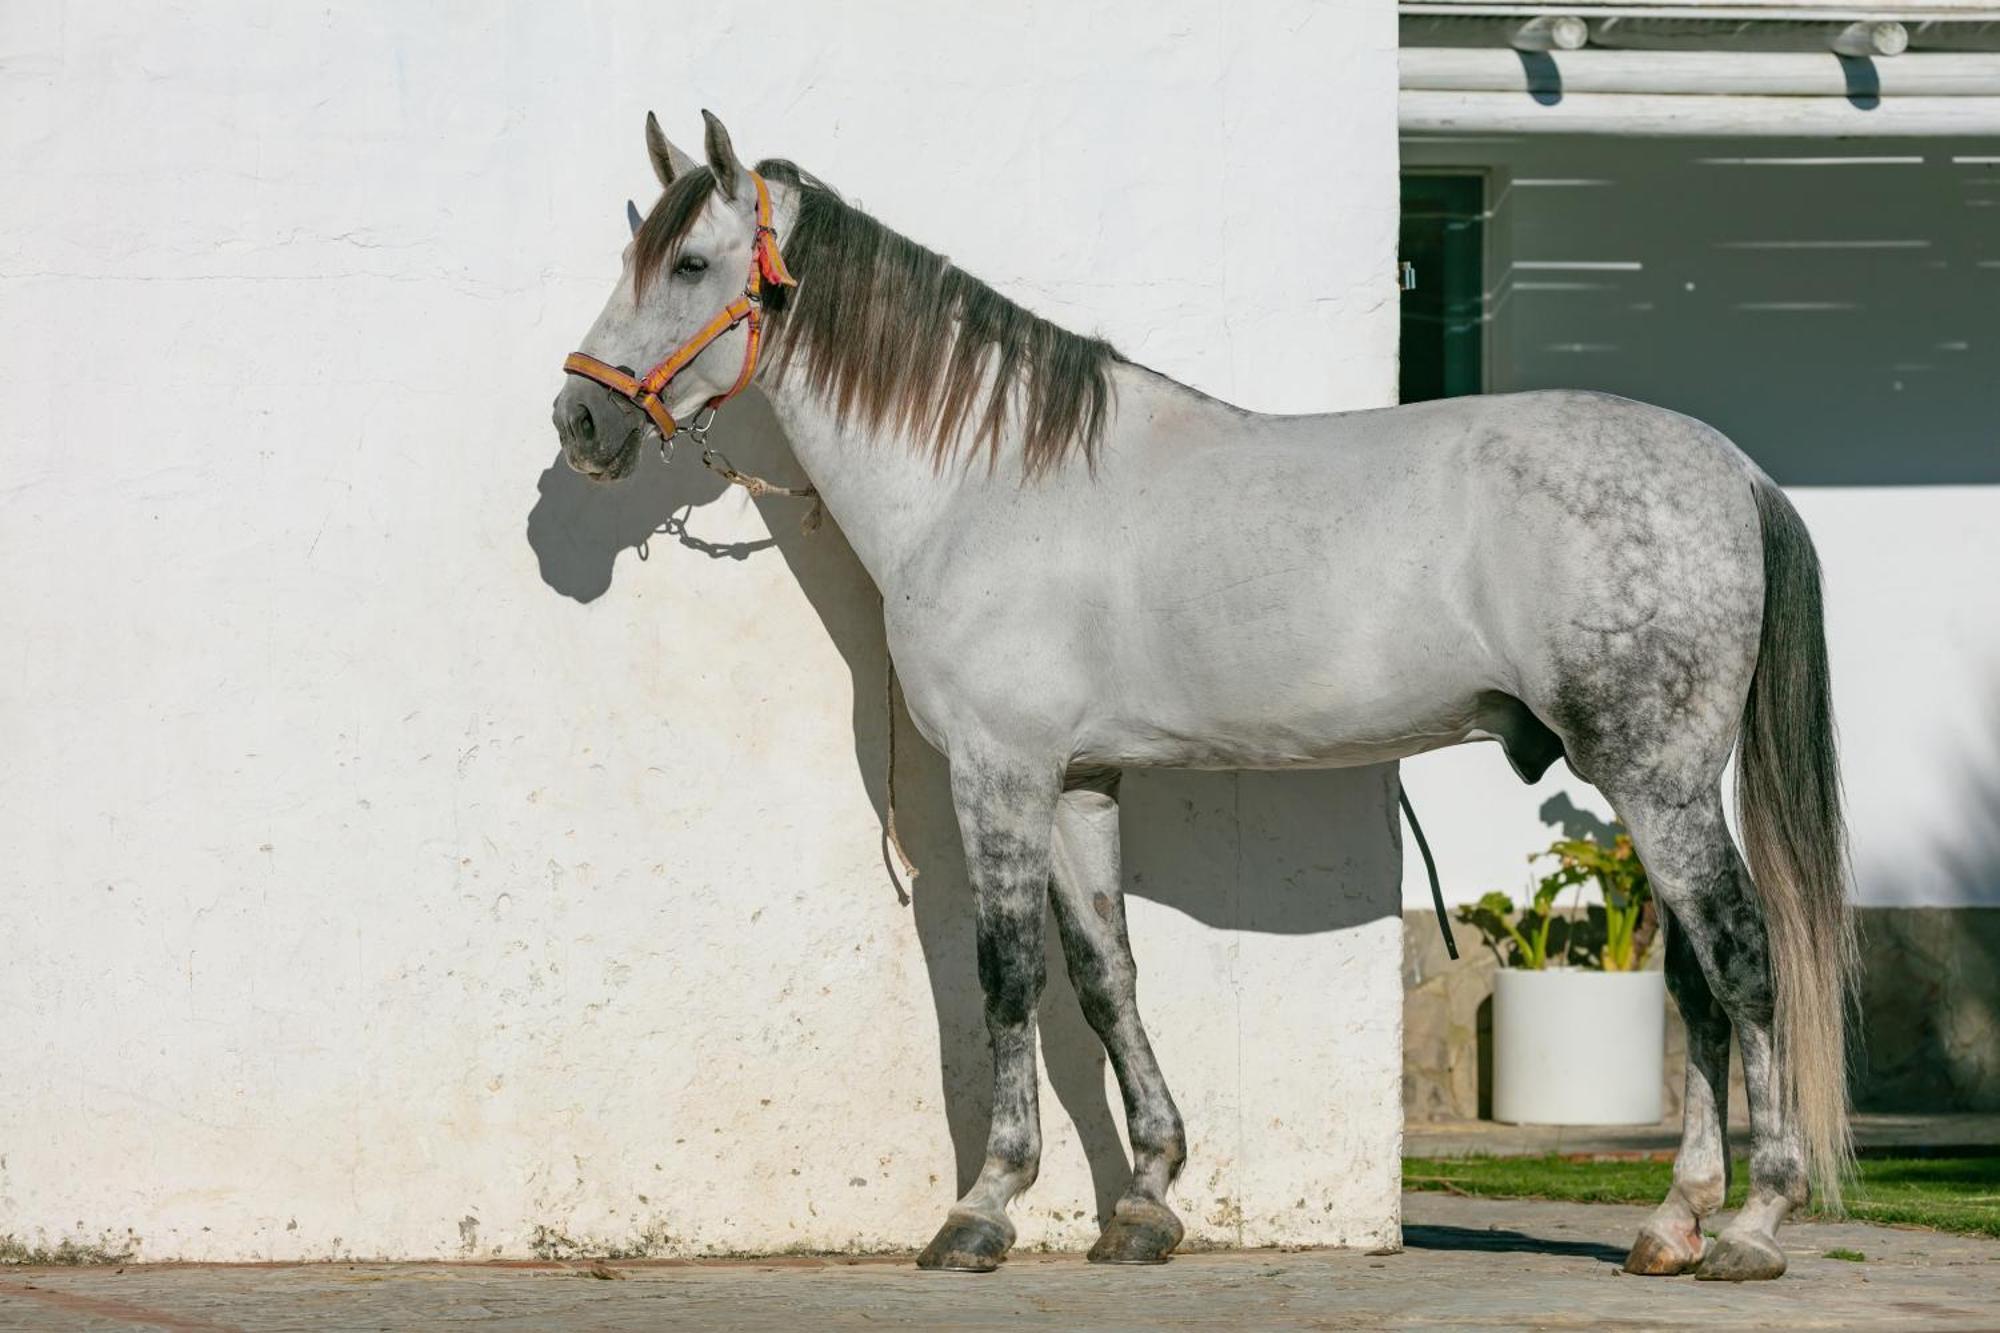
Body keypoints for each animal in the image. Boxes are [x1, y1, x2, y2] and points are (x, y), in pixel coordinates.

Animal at [552, 114, 1856, 1280]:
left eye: (689, 263)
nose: (580, 417)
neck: (984, 478)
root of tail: (1731, 471)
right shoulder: (1076, 782)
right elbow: (1105, 975)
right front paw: (1145, 1201)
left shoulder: (999, 773)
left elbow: (1006, 975)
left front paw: (983, 1207)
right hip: (1643, 785)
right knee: (1694, 980)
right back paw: (1671, 1223)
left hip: (1656, 777)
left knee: (1740, 960)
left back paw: (1750, 1225)